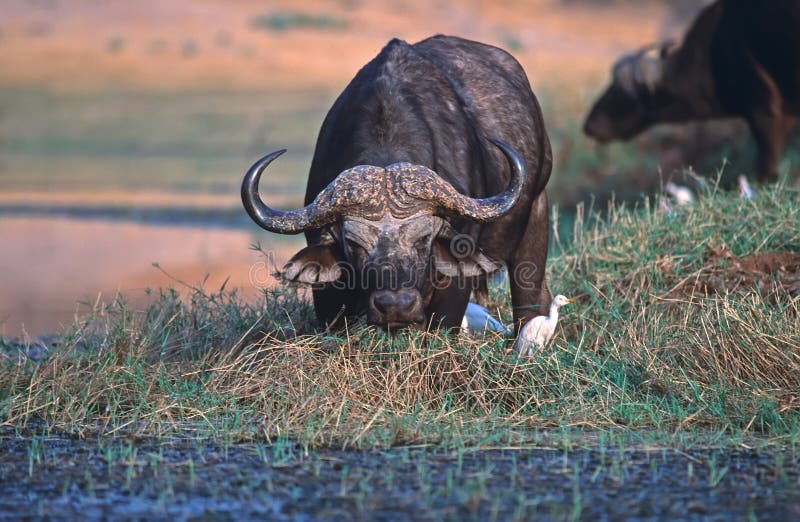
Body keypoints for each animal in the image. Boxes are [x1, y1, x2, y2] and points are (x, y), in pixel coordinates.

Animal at [241, 35, 552, 331]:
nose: (396, 306)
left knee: (531, 296)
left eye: (423, 239)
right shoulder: (327, 290)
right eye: (353, 243)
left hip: (537, 210)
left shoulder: (454, 283)